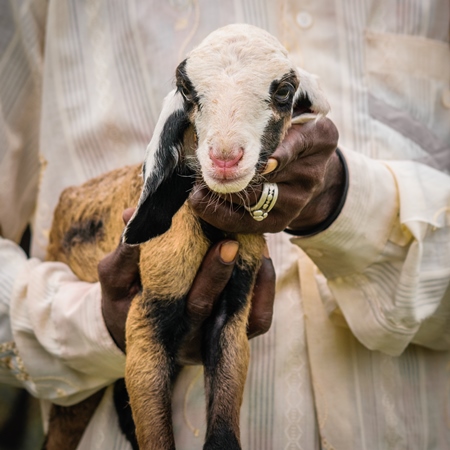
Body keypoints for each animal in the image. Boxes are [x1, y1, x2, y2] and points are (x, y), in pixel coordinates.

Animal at [43, 23, 326, 450]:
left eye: (284, 90)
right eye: (186, 89)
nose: (225, 158)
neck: (212, 230)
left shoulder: (232, 314)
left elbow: (223, 430)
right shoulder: (147, 317)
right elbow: (157, 434)